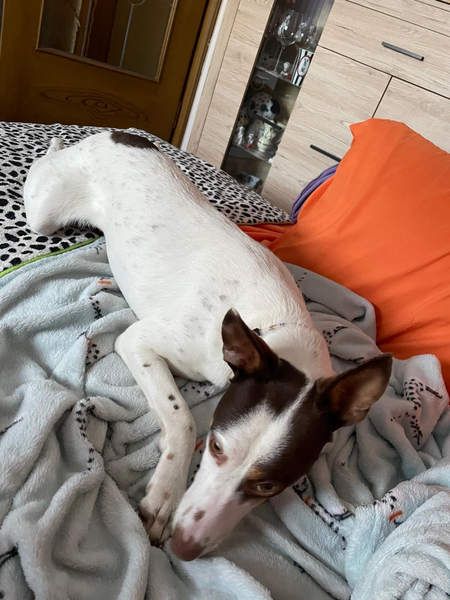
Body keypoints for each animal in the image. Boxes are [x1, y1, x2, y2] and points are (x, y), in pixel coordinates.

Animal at [23, 131, 392, 561]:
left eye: (268, 486)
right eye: (215, 447)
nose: (185, 547)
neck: (276, 326)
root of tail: (115, 134)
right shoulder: (137, 342)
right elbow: (181, 416)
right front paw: (165, 494)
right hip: (44, 212)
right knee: (41, 171)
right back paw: (51, 148)